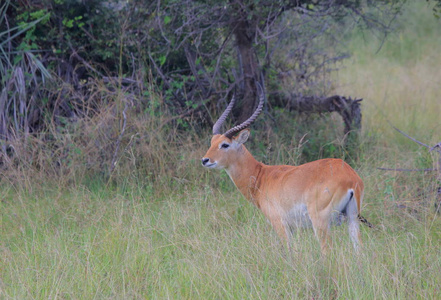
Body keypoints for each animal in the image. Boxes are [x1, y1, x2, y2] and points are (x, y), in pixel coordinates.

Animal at [201, 85, 370, 252]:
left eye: (225, 144)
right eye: (212, 142)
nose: (205, 160)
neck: (261, 176)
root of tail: (350, 178)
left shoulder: (280, 224)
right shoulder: (292, 228)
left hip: (320, 222)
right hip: (353, 219)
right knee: (359, 249)